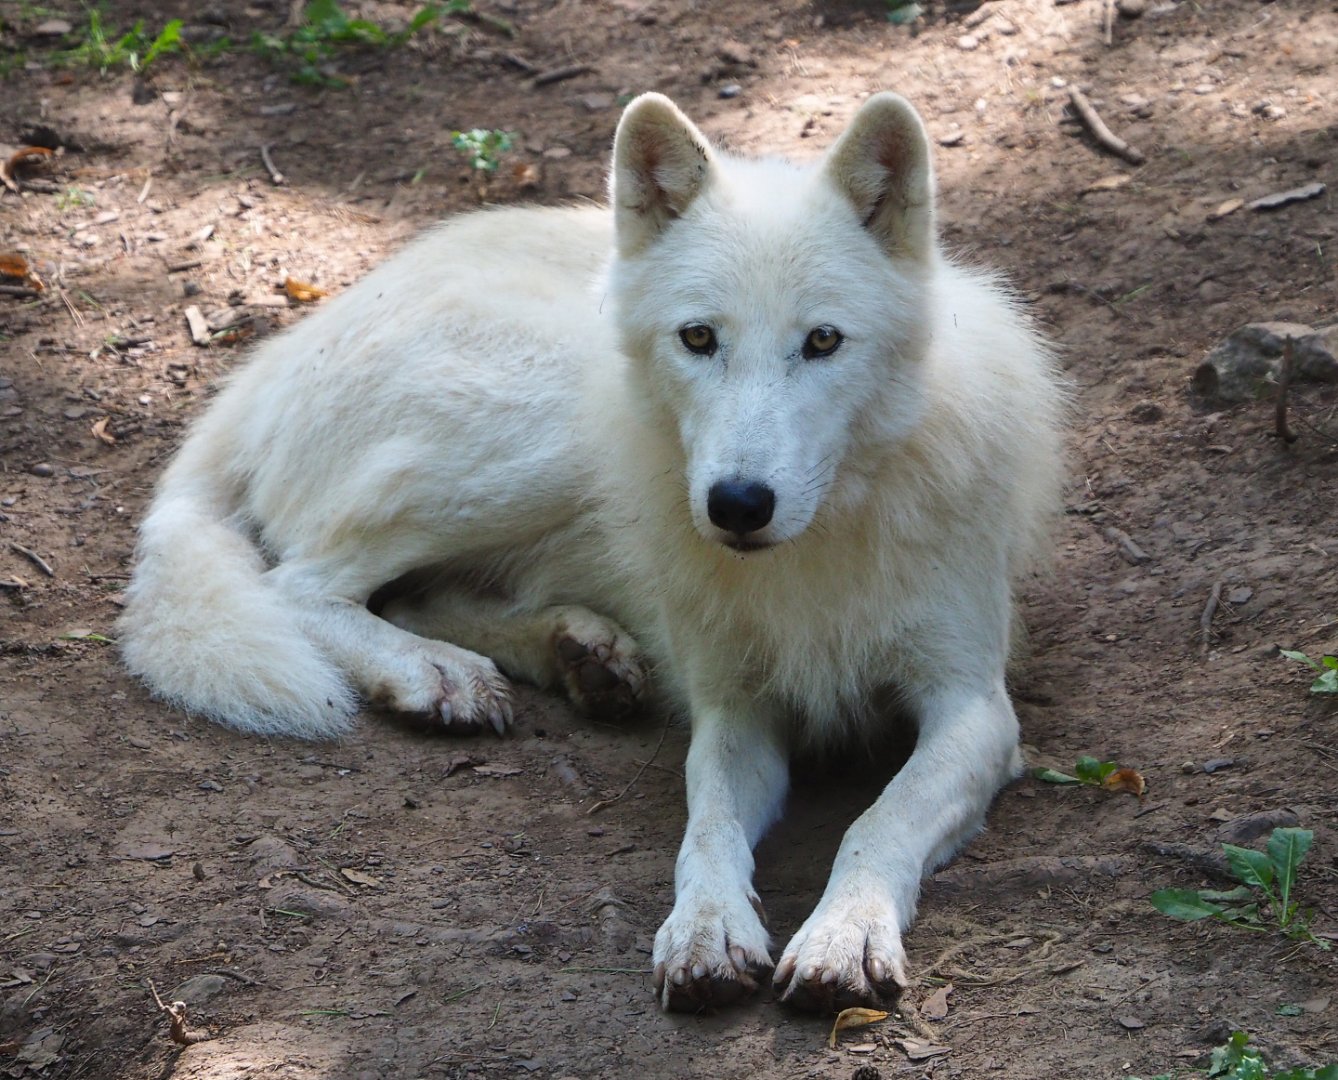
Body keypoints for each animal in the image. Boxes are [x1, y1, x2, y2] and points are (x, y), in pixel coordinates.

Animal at [119, 91, 1065, 1012]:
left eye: (823, 341)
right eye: (698, 338)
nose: (737, 504)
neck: (816, 545)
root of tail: (270, 360)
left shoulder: (974, 707)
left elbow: (880, 820)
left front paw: (842, 935)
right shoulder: (733, 708)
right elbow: (706, 828)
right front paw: (706, 931)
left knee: (410, 593)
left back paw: (575, 654)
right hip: (543, 430)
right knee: (299, 583)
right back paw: (438, 672)